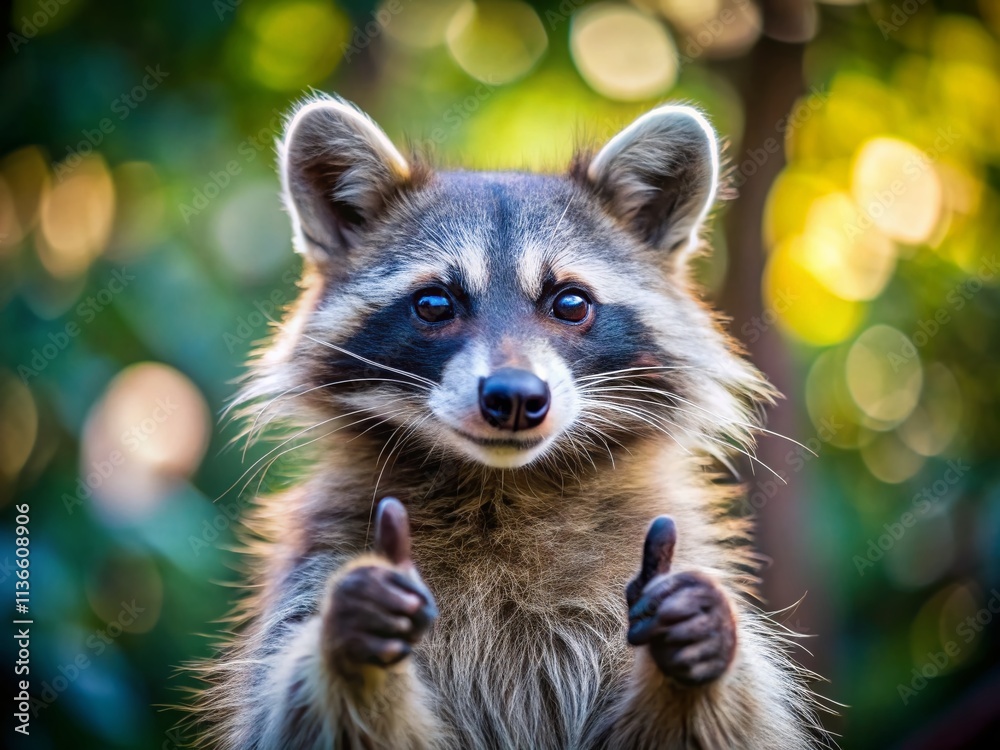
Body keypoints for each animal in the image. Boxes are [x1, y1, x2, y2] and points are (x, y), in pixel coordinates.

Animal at [192, 96, 829, 749]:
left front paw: (701, 649)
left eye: (570, 303)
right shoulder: (317, 565)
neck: (503, 485)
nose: (516, 397)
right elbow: (298, 719)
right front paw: (349, 648)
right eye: (435, 303)